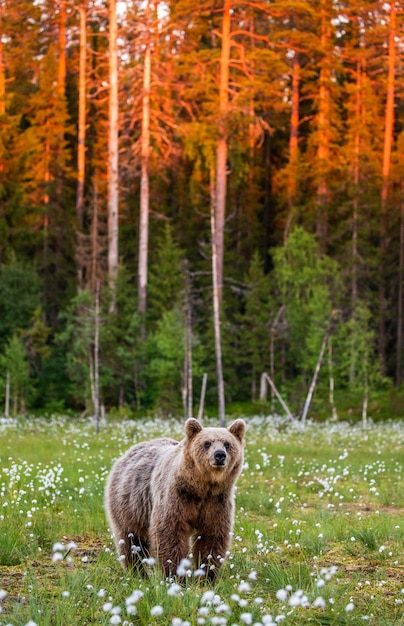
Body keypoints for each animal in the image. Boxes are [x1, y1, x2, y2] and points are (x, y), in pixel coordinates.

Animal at [105, 416, 245, 576]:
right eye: (207, 443)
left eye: (227, 444)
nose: (220, 455)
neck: (201, 488)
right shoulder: (177, 497)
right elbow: (170, 533)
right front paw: (175, 574)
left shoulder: (216, 501)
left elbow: (212, 535)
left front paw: (207, 574)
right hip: (130, 503)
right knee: (132, 539)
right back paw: (137, 571)